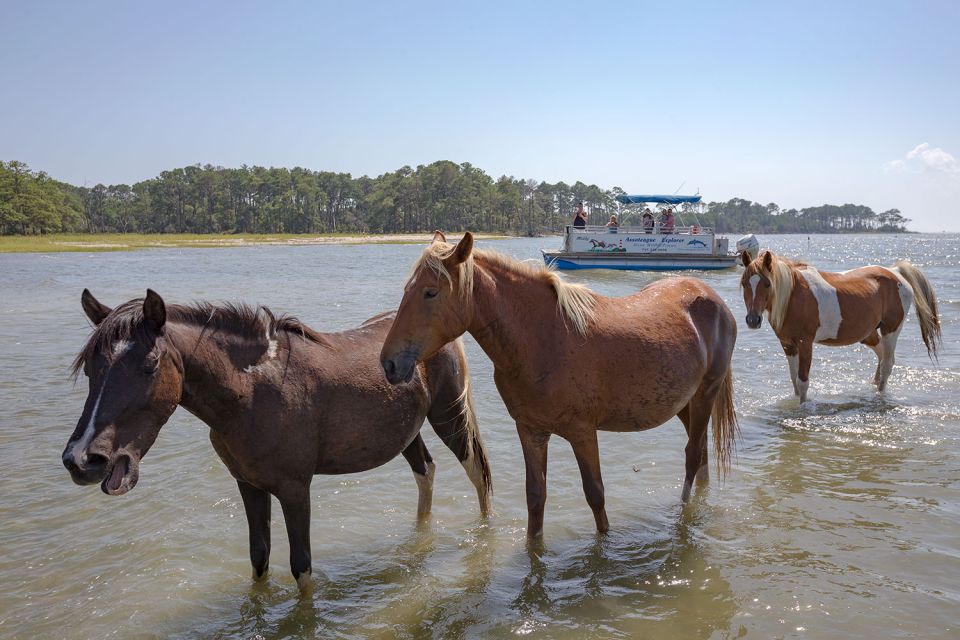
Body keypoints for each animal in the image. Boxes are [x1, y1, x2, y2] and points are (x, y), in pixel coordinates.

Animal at [62, 290, 492, 592]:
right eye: (91, 367)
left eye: (150, 365)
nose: (82, 459)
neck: (252, 392)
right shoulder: (249, 485)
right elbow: (259, 557)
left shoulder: (295, 489)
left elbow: (301, 566)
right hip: (406, 432)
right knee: (426, 472)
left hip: (448, 418)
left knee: (477, 475)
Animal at [378, 232, 740, 536]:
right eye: (407, 290)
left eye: (430, 292)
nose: (389, 363)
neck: (545, 340)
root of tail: (712, 298)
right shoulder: (531, 431)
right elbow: (535, 498)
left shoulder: (582, 432)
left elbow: (595, 495)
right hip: (685, 404)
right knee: (701, 455)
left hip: (706, 394)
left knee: (693, 456)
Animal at [744, 249, 936, 402]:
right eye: (744, 283)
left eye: (767, 284)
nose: (753, 320)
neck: (793, 295)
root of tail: (895, 272)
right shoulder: (787, 345)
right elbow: (794, 380)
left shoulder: (805, 344)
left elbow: (802, 381)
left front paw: (803, 407)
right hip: (868, 335)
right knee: (882, 357)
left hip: (891, 330)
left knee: (887, 365)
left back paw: (880, 395)